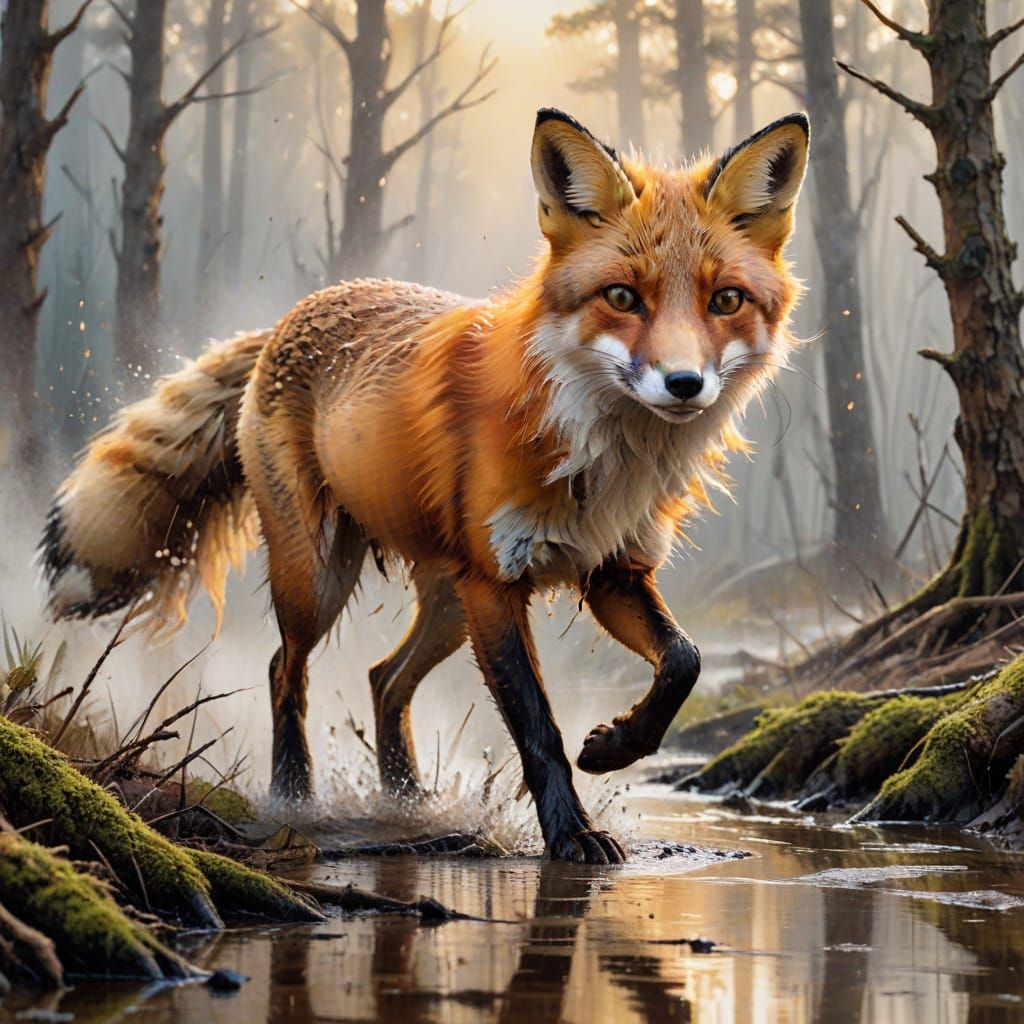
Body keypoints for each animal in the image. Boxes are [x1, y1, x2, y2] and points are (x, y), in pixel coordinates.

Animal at [40, 109, 809, 864]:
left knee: (384, 678)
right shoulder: (497, 584)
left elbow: (684, 661)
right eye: (621, 296)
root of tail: (293, 314)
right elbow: (538, 726)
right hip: (322, 577)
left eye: (726, 300)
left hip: (445, 603)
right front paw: (570, 833)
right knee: (285, 668)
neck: (596, 459)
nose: (684, 384)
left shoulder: (612, 572)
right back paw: (295, 796)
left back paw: (406, 800)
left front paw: (615, 746)